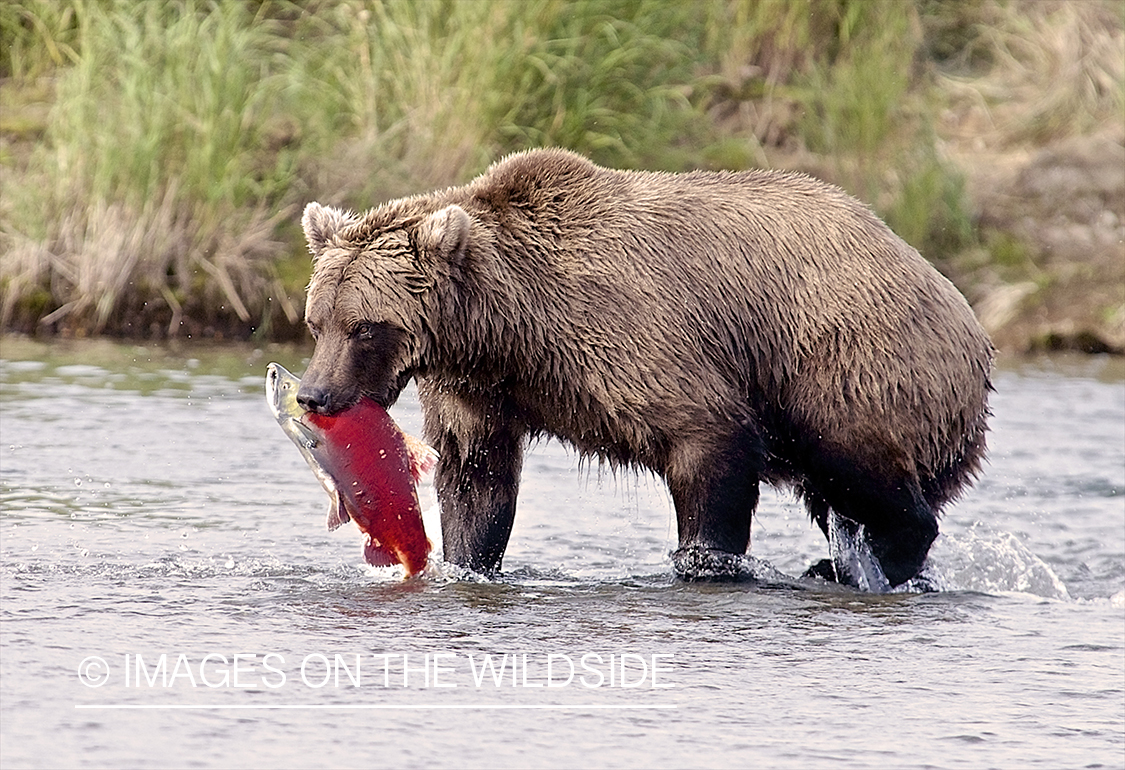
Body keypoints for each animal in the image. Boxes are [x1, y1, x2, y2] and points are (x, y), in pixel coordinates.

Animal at [296, 148, 994, 589]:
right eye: (317, 321)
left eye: (366, 326)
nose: (314, 395)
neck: (510, 327)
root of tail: (963, 311)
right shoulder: (481, 388)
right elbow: (476, 478)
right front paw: (468, 558)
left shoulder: (631, 336)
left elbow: (708, 441)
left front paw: (705, 561)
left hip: (843, 358)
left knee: (857, 465)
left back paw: (857, 562)